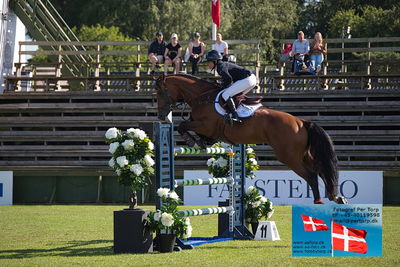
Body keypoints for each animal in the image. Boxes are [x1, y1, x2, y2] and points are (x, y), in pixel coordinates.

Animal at [155, 74, 348, 205]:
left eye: (160, 92)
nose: (161, 116)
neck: (203, 98)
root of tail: (301, 122)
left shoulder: (205, 125)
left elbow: (182, 126)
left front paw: (190, 140)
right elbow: (193, 129)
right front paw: (201, 141)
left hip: (289, 157)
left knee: (311, 175)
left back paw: (319, 201)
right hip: (304, 155)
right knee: (321, 170)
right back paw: (335, 197)